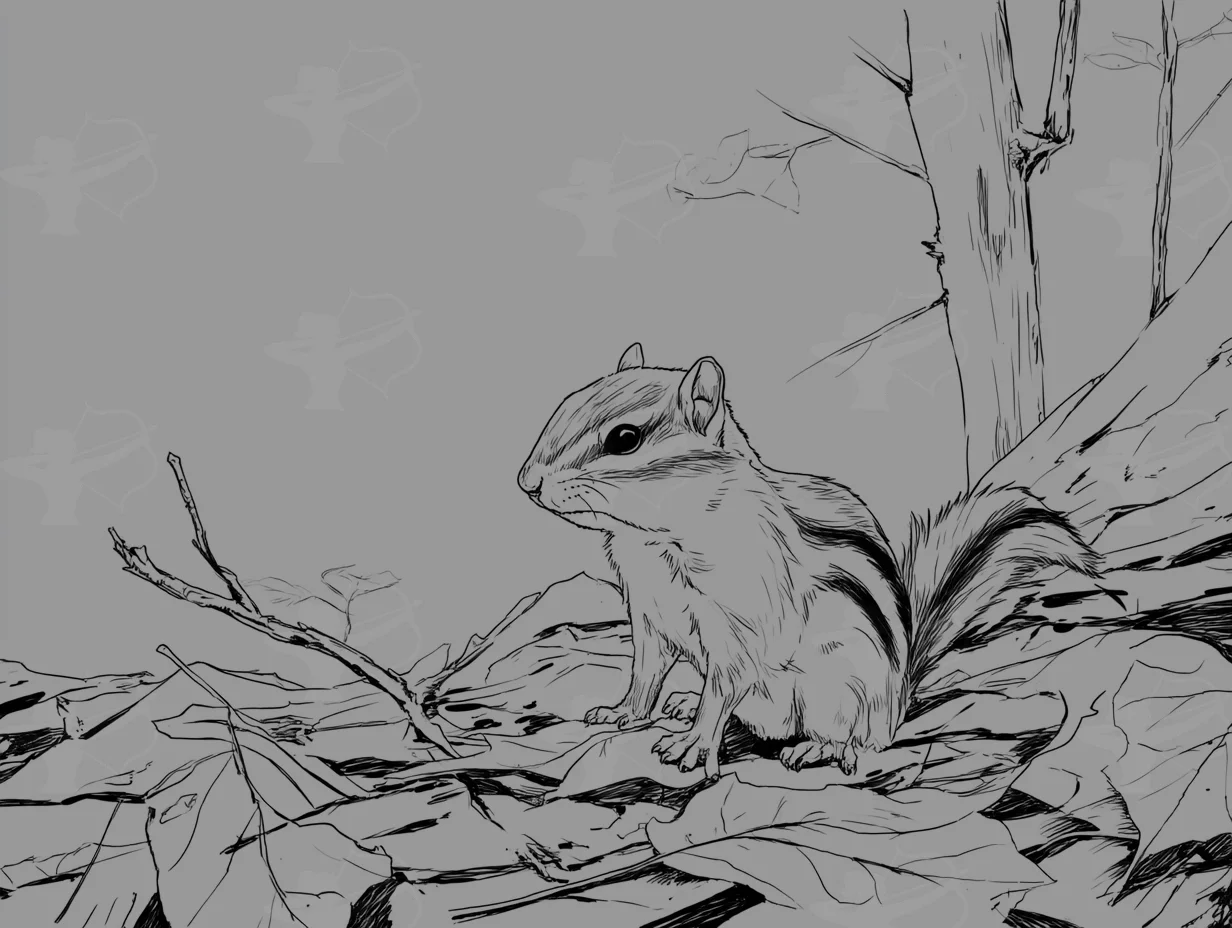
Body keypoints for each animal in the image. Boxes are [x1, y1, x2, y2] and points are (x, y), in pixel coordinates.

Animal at [517, 343, 1102, 779]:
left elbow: (722, 686)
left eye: (624, 439)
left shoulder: (741, 623)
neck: (653, 540)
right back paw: (685, 701)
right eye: (566, 403)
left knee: (858, 742)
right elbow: (645, 672)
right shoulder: (649, 616)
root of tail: (900, 698)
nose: (527, 482)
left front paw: (693, 743)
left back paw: (819, 748)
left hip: (842, 695)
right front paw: (623, 712)